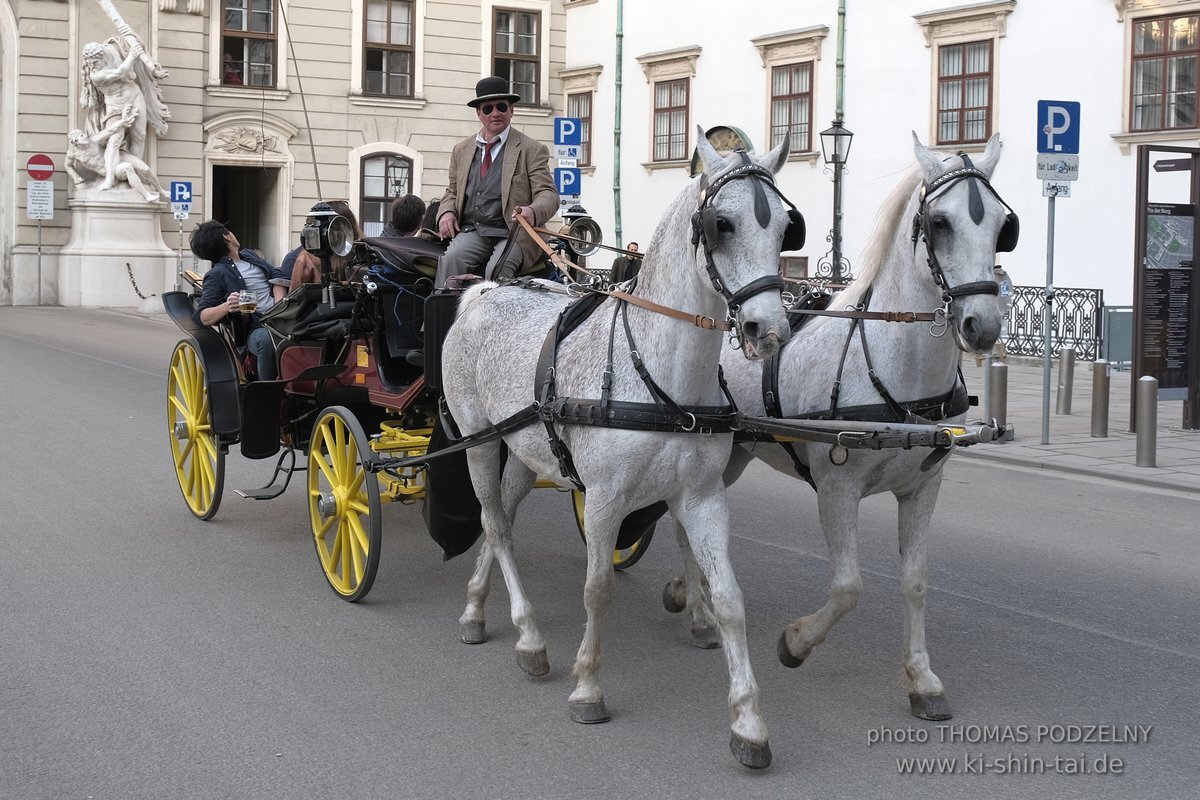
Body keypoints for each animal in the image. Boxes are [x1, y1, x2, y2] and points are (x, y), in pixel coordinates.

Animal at [667, 131, 1012, 719]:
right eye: (940, 222)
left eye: (1002, 226)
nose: (982, 326)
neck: (898, 376)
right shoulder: (837, 488)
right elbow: (849, 586)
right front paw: (796, 643)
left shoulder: (924, 487)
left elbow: (915, 582)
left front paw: (922, 678)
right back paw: (697, 609)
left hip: (730, 455)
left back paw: (692, 604)